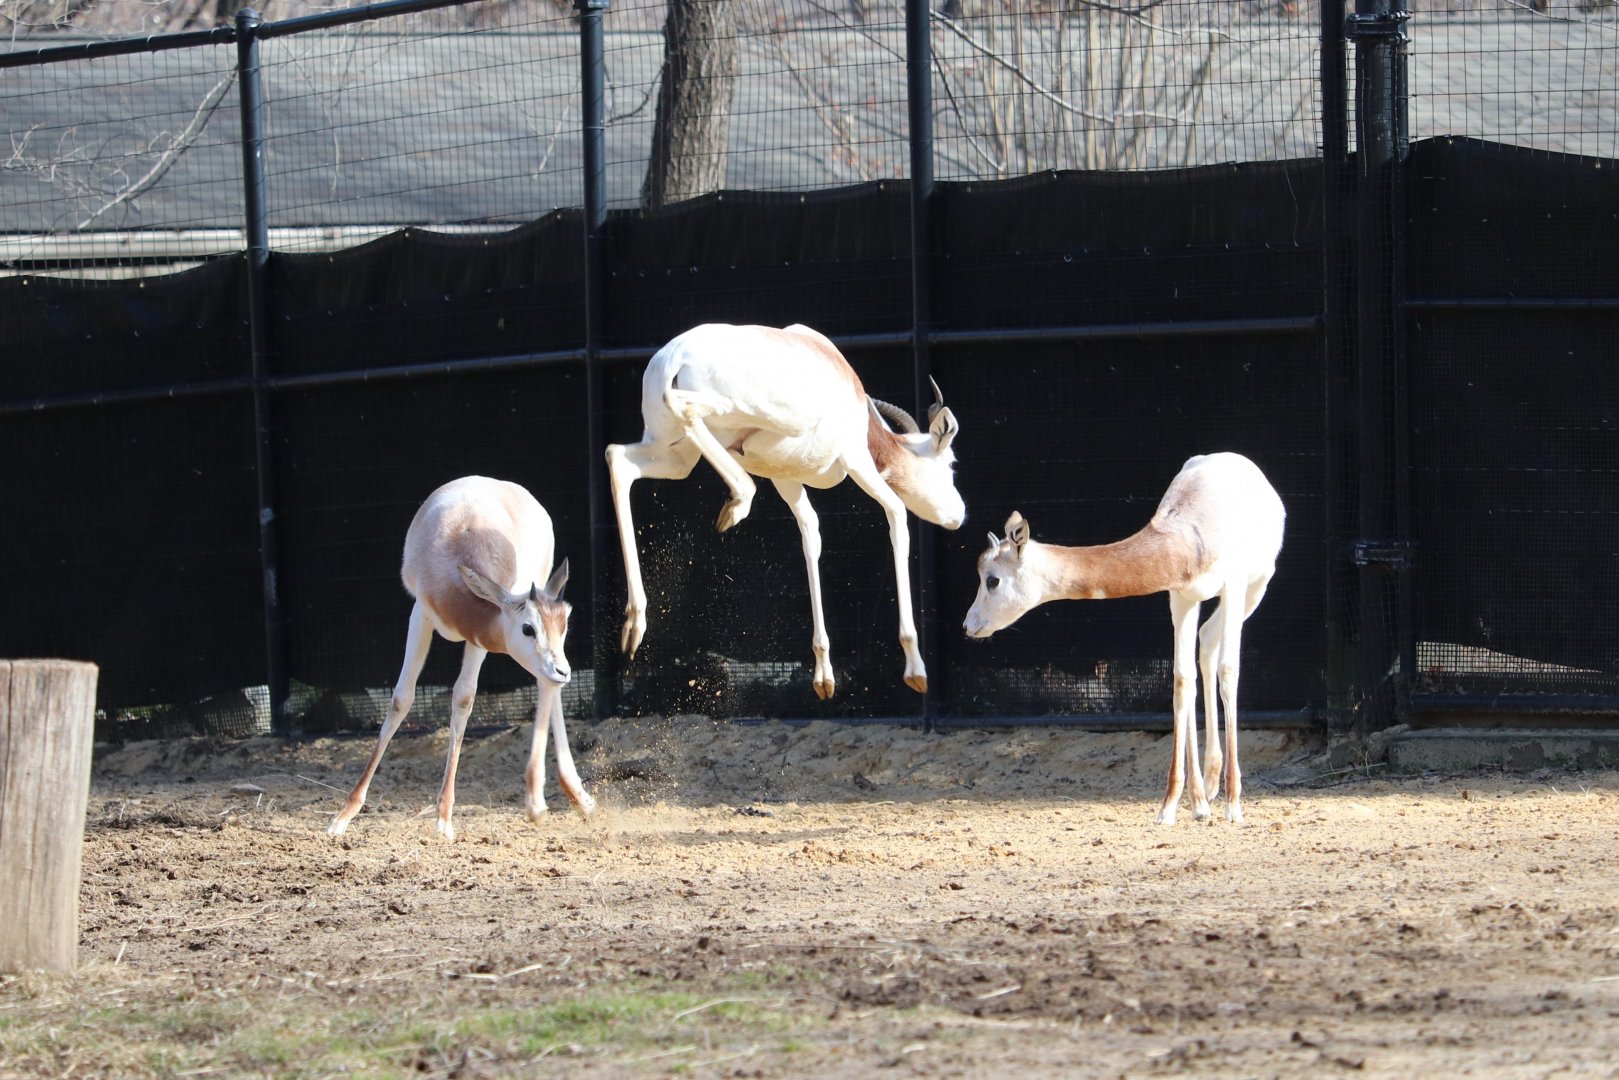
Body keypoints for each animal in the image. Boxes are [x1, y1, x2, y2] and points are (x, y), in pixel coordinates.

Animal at [327, 476, 595, 840]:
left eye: (566, 623)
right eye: (528, 628)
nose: (565, 670)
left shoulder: (478, 637)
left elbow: (464, 699)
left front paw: (443, 818)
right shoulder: (420, 613)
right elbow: (401, 699)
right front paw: (343, 816)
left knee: (544, 687)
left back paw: (544, 803)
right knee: (546, 684)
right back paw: (568, 797)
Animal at [605, 322, 965, 699]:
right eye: (951, 463)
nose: (958, 514)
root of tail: (674, 356)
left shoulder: (785, 479)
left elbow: (811, 535)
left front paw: (824, 676)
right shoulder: (856, 459)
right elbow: (896, 513)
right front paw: (915, 669)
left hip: (677, 454)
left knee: (619, 458)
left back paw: (634, 626)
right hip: (756, 418)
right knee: (685, 415)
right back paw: (737, 504)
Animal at [963, 452, 1285, 825]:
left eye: (992, 580)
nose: (969, 625)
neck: (1192, 535)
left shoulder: (1233, 587)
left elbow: (1229, 671)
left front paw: (1234, 807)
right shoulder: (1180, 596)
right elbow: (1181, 679)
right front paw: (1169, 806)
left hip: (1255, 589)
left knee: (1218, 657)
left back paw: (1220, 792)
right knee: (1205, 645)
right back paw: (1204, 796)